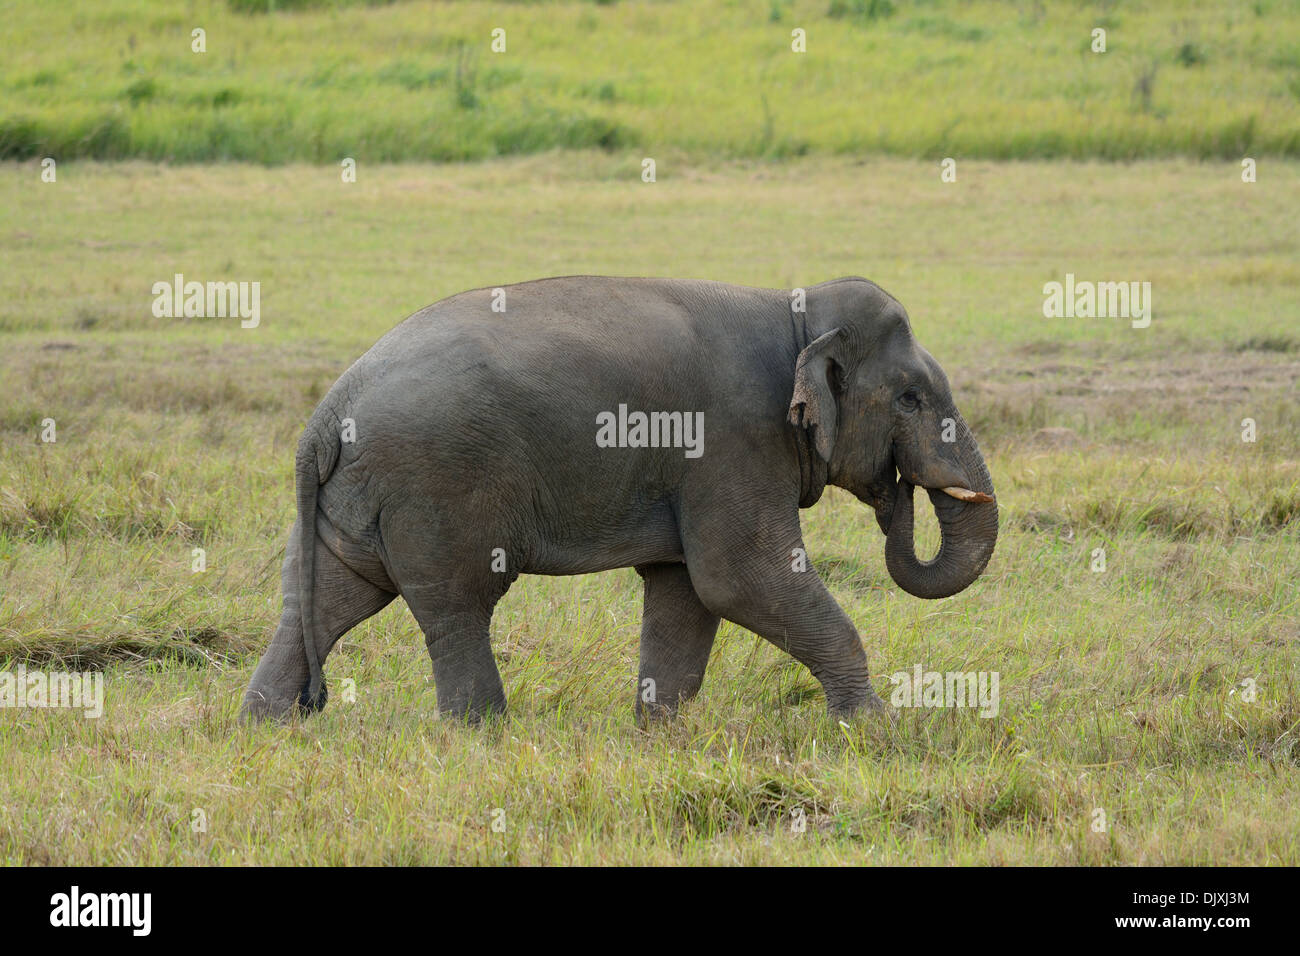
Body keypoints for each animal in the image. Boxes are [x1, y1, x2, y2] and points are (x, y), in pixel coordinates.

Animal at [241, 277, 993, 723]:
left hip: (355, 499)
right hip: (435, 484)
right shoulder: (734, 439)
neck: (793, 311)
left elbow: (687, 592)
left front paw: (660, 737)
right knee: (458, 605)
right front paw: (875, 730)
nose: (897, 494)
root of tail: (327, 411)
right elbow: (741, 579)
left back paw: (267, 726)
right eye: (910, 399)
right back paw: (480, 738)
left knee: (326, 597)